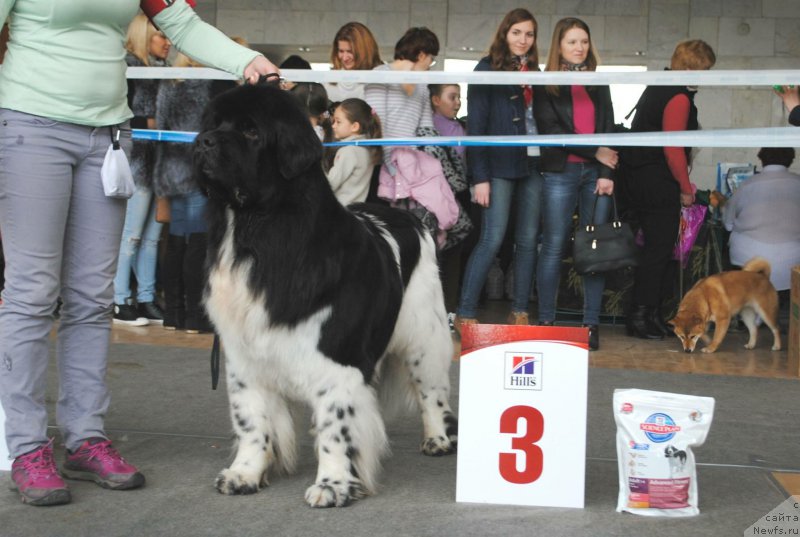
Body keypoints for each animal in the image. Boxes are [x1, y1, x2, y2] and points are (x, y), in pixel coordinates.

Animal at [192, 84, 456, 506]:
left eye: (251, 131)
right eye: (212, 124)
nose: (203, 142)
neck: (256, 234)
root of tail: (408, 216)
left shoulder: (339, 362)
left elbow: (337, 425)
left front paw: (333, 485)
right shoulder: (243, 360)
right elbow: (251, 420)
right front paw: (244, 473)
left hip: (424, 336)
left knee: (432, 390)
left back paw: (438, 439)